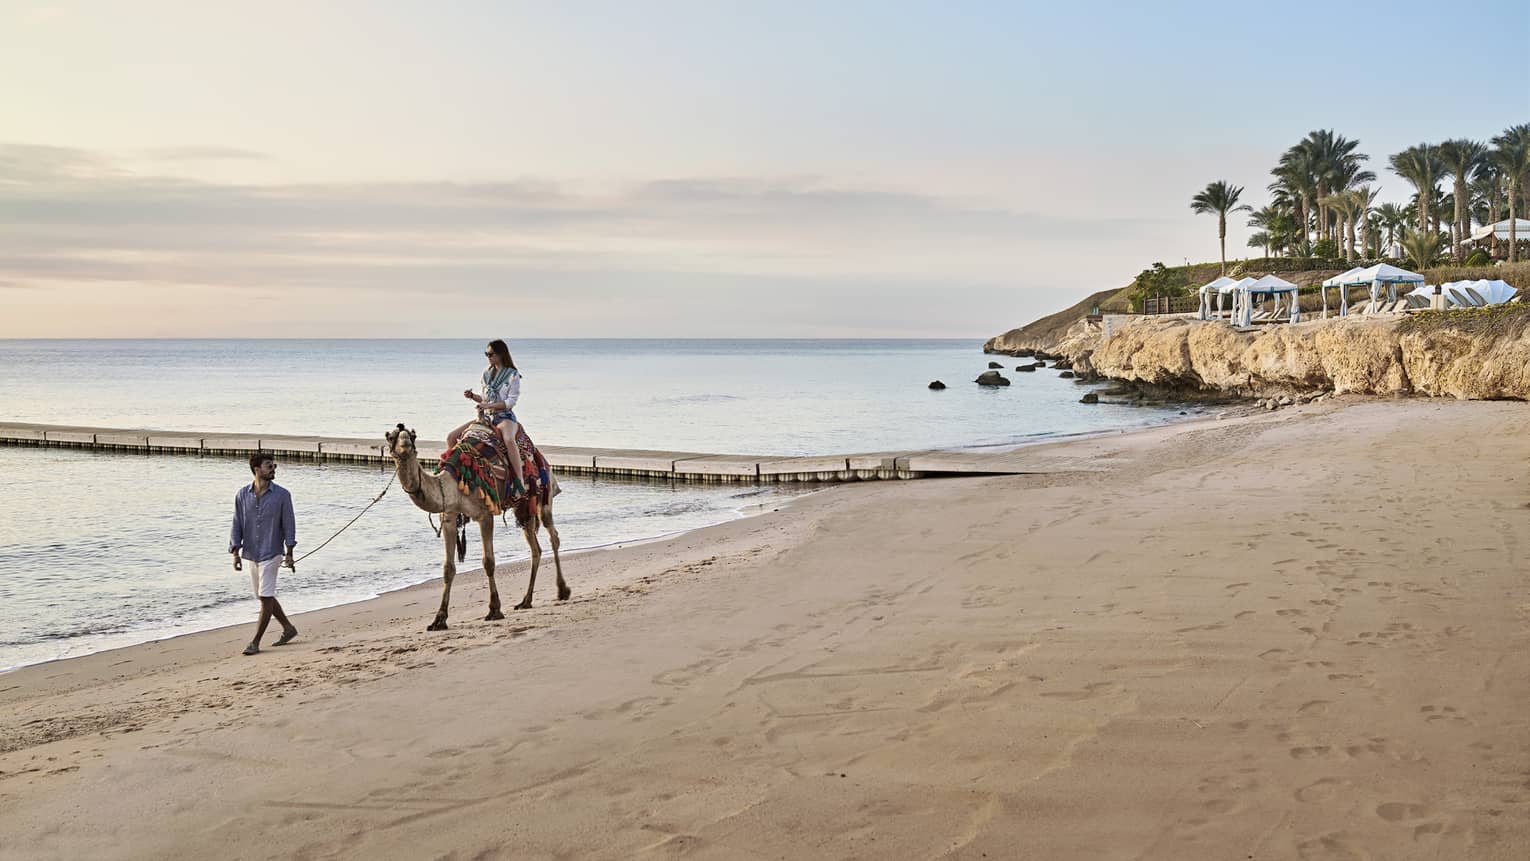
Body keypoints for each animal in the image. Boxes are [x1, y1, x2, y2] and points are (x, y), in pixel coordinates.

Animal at [385, 423, 568, 630]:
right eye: (391, 437)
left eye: (413, 436)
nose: (405, 443)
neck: (452, 484)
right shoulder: (449, 516)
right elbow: (448, 568)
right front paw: (439, 619)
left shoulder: (485, 514)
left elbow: (488, 562)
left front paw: (494, 610)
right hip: (524, 509)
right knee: (535, 548)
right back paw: (526, 601)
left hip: (544, 496)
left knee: (553, 536)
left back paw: (562, 590)